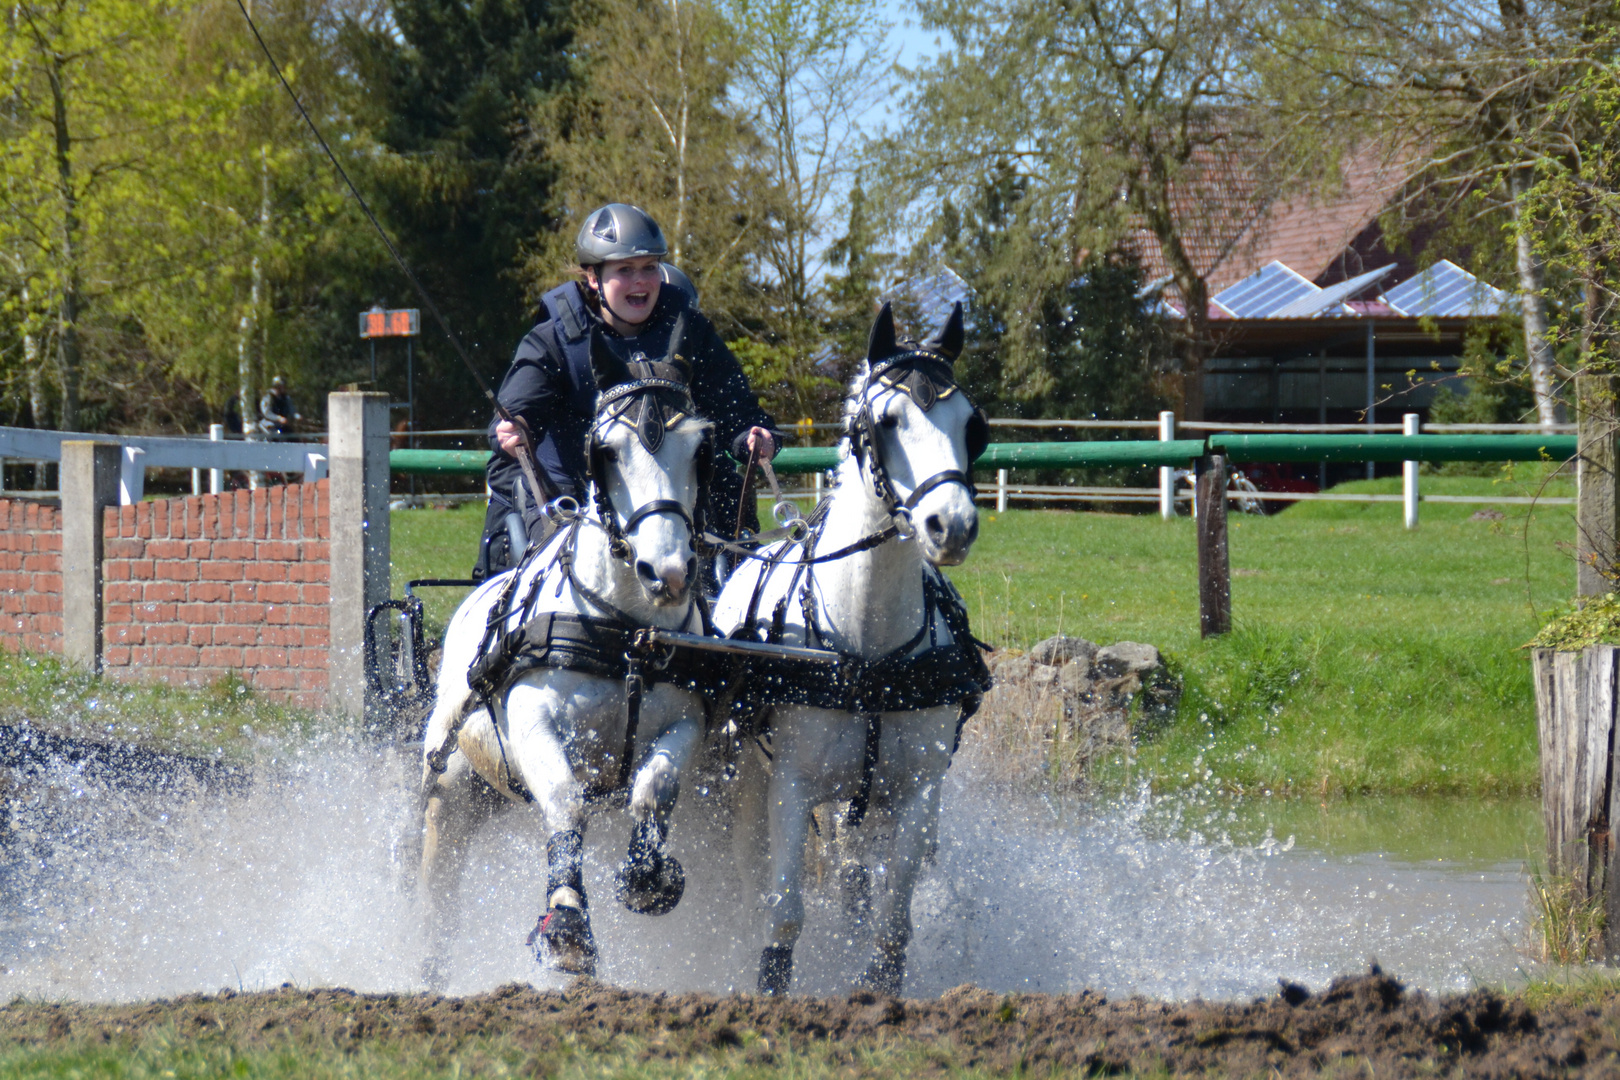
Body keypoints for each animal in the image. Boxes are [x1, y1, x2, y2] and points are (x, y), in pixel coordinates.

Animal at [417, 327, 716, 990]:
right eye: (606, 451)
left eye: (701, 448)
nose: (668, 572)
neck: (626, 632)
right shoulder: (533, 722)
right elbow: (565, 800)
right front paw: (568, 925)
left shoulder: (687, 721)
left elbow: (654, 789)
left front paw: (648, 874)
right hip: (450, 787)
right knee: (437, 894)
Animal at [719, 304, 991, 997]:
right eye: (888, 421)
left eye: (972, 425)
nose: (952, 526)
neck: (868, 652)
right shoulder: (789, 787)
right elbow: (785, 910)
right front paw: (769, 984)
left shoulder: (918, 792)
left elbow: (893, 916)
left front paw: (878, 988)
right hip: (748, 775)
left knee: (856, 868)